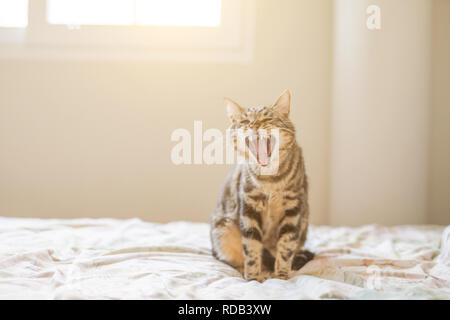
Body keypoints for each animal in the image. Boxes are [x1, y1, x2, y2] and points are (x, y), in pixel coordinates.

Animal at [208, 90, 312, 282]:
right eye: (245, 121)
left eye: (267, 118)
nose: (254, 125)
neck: (270, 180)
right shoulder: (249, 208)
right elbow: (251, 248)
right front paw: (253, 278)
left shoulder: (293, 209)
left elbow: (286, 246)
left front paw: (281, 275)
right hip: (223, 229)